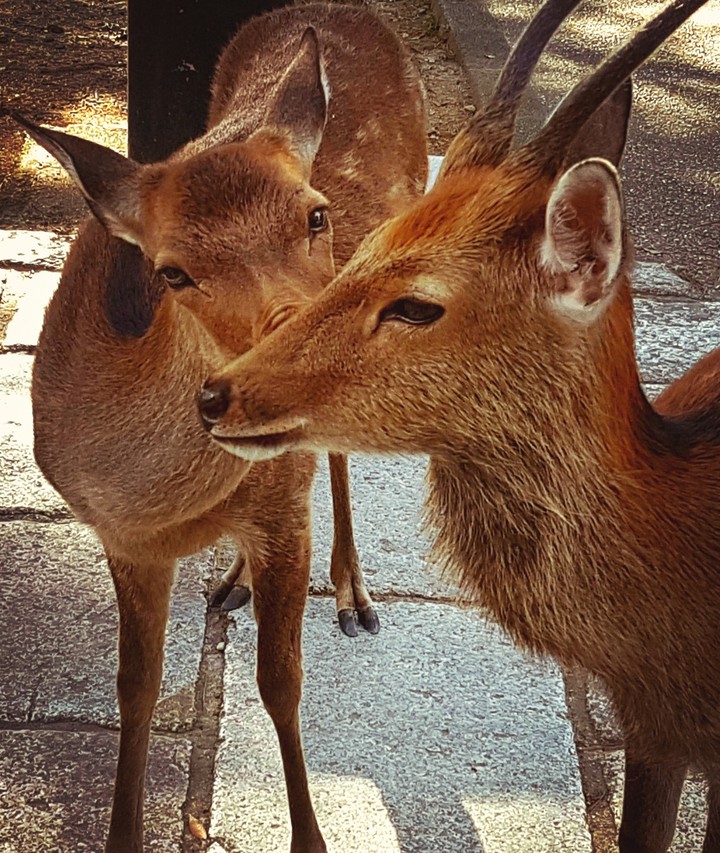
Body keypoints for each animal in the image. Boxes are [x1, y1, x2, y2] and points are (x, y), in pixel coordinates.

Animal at [3, 3, 427, 851]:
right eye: (172, 271)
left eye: (316, 213)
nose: (298, 348)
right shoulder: (123, 538)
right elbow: (134, 685)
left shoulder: (281, 509)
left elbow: (280, 680)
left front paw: (310, 838)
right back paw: (233, 580)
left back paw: (352, 589)